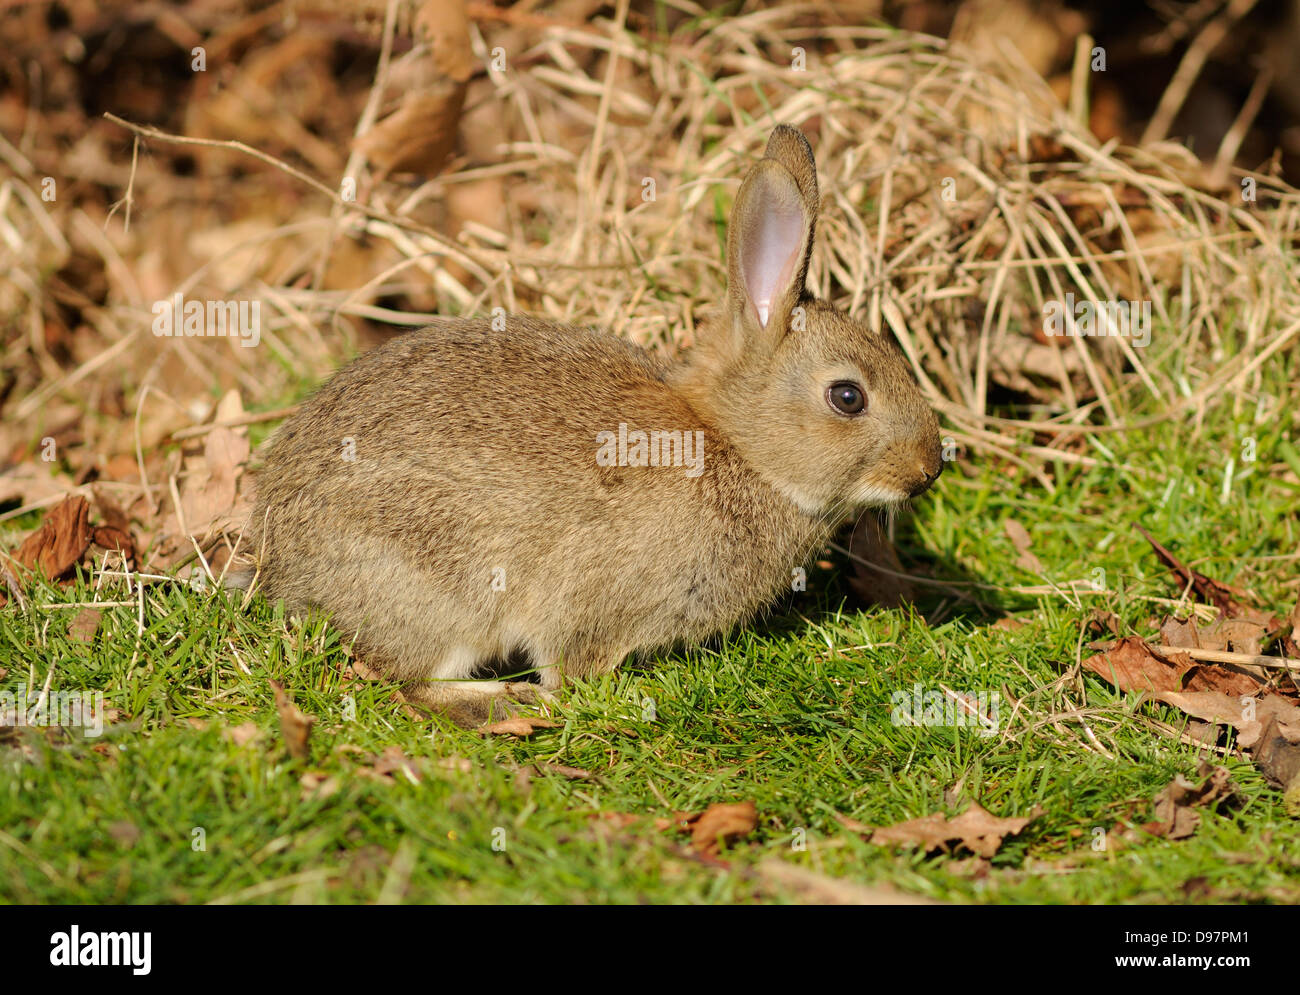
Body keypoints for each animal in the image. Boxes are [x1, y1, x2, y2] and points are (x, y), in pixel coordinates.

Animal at [239, 128, 941, 728]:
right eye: (848, 397)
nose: (929, 469)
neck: (738, 448)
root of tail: (283, 567)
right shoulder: (594, 600)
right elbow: (572, 661)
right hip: (440, 589)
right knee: (410, 680)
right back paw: (503, 704)